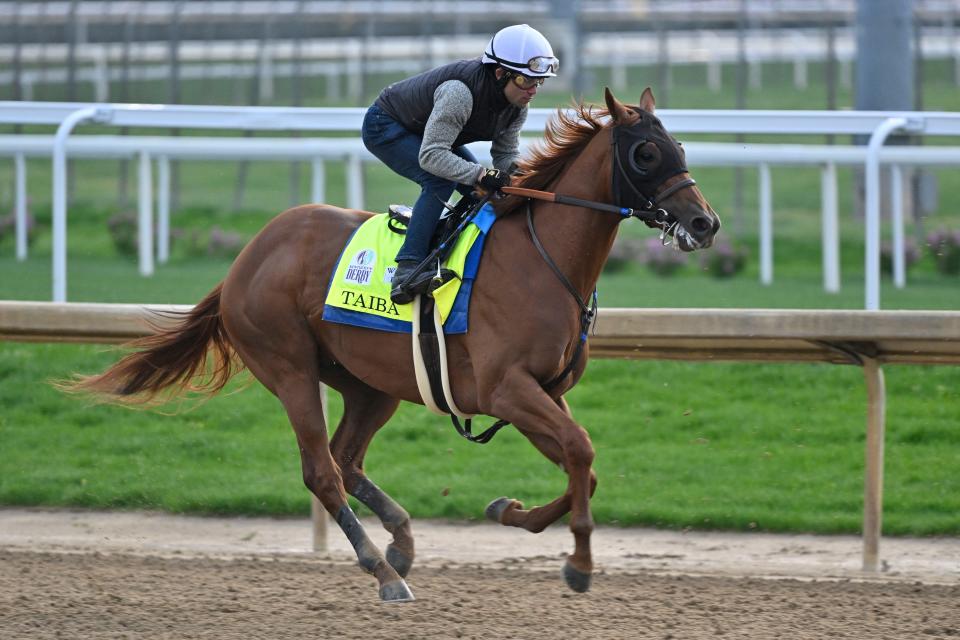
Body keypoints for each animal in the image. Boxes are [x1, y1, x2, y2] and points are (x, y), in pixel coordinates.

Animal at [65, 87, 720, 604]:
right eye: (646, 153)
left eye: (681, 148)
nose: (705, 223)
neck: (543, 258)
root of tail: (245, 259)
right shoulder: (506, 390)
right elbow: (582, 452)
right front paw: (579, 564)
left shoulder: (541, 392)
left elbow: (584, 467)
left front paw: (509, 512)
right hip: (290, 367)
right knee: (322, 471)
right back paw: (384, 572)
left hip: (369, 382)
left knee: (347, 458)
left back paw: (401, 542)